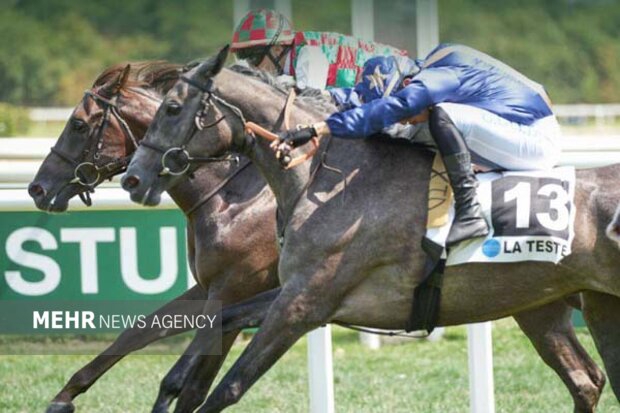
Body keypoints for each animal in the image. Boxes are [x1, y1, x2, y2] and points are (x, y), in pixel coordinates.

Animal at [122, 47, 619, 413]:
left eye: (171, 108)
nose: (133, 178)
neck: (326, 178)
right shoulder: (297, 293)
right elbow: (222, 320)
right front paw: (174, 386)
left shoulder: (301, 305)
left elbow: (229, 387)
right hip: (559, 306)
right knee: (587, 378)